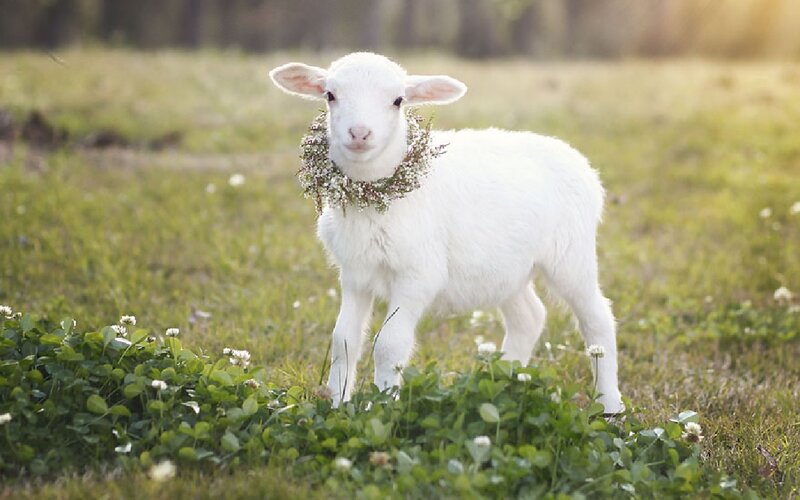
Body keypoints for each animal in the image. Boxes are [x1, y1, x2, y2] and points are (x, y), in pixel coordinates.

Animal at [269, 52, 624, 415]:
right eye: (330, 95)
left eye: (398, 100)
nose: (359, 133)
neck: (374, 199)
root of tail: (582, 165)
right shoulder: (355, 274)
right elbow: (343, 341)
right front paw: (337, 407)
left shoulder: (420, 273)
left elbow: (389, 344)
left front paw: (383, 408)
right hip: (505, 268)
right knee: (529, 317)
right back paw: (505, 385)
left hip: (570, 254)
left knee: (597, 319)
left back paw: (611, 406)